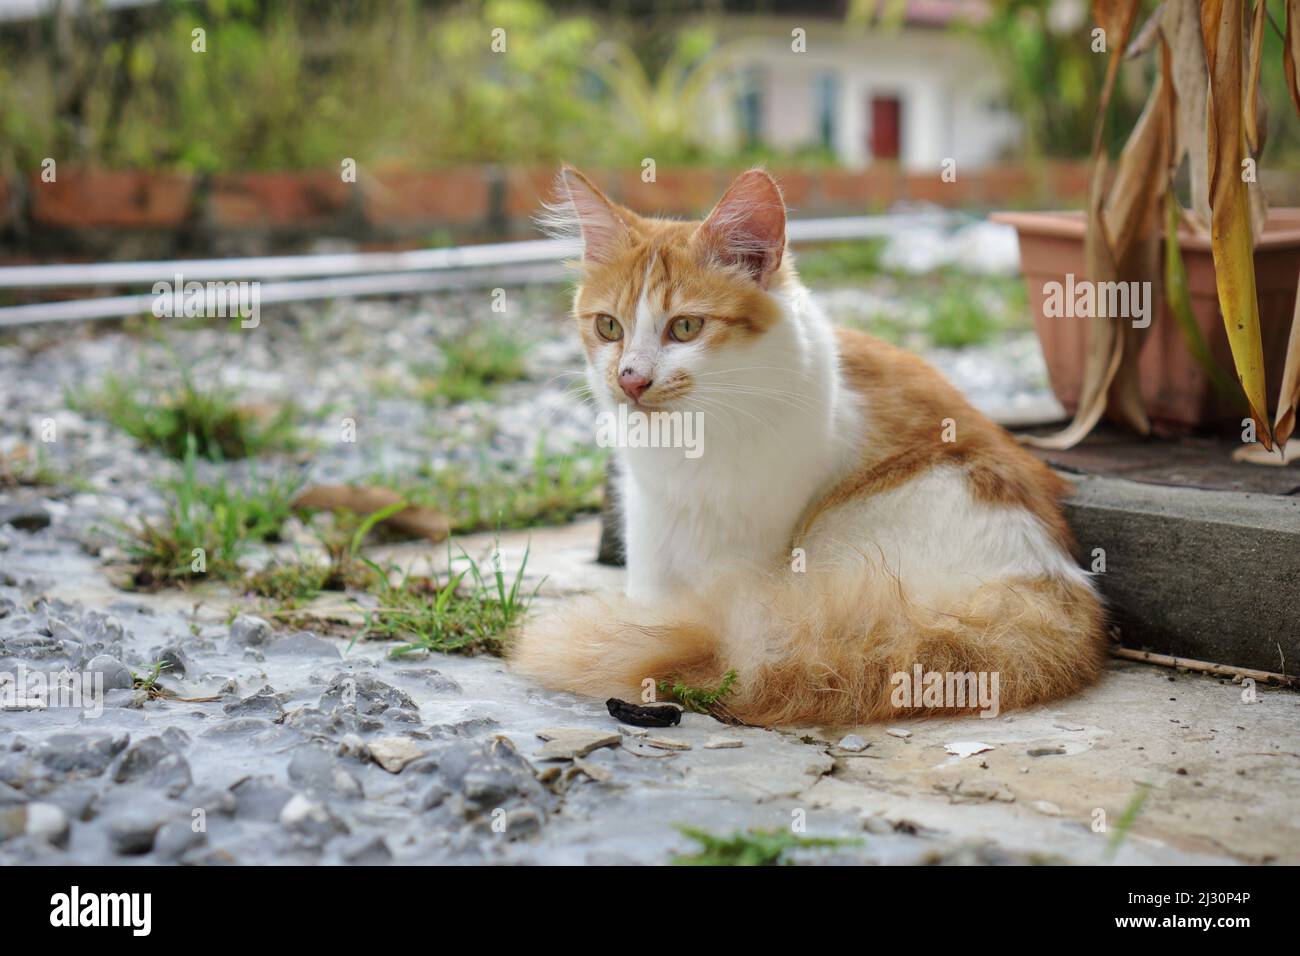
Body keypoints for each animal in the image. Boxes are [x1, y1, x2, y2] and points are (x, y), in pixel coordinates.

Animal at [509, 167, 1107, 723]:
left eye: (684, 328)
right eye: (608, 327)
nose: (630, 380)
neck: (693, 442)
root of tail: (1052, 586)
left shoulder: (747, 545)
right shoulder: (650, 513)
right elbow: (650, 594)